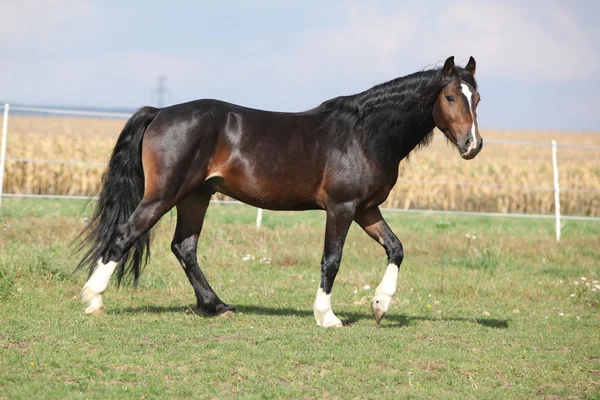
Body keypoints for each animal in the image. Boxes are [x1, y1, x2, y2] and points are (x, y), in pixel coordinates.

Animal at [77, 55, 486, 324]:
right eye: (450, 97)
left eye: (477, 99)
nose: (473, 145)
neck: (365, 135)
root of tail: (160, 112)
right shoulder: (342, 208)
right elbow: (332, 260)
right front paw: (327, 316)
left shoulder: (367, 209)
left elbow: (396, 248)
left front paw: (380, 305)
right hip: (164, 195)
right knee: (124, 235)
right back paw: (94, 300)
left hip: (196, 196)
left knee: (184, 247)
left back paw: (216, 306)